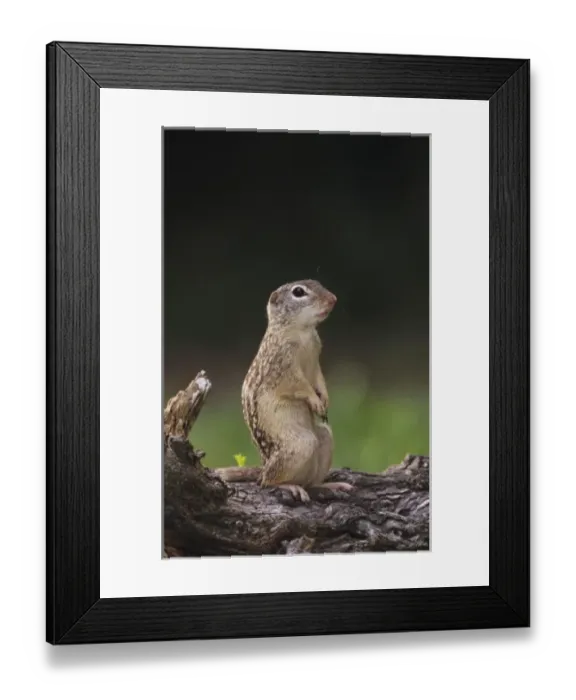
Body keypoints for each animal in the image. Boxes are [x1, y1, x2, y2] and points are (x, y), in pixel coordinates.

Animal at [215, 279, 353, 502]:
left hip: (324, 438)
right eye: (298, 292)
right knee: (267, 482)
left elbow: (319, 379)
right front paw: (315, 401)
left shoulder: (315, 362)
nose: (333, 299)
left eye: (318, 282)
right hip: (301, 445)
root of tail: (263, 466)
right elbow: (300, 385)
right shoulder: (285, 368)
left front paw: (324, 399)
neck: (302, 331)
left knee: (311, 482)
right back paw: (289, 486)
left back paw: (331, 484)